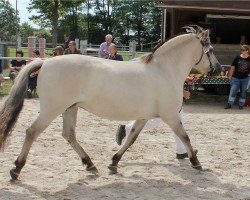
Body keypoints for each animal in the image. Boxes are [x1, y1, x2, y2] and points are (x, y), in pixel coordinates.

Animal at [0, 25, 222, 180]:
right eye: (210, 50)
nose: (219, 69)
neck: (164, 70)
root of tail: (46, 62)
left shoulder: (144, 117)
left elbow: (131, 138)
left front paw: (114, 162)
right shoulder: (171, 116)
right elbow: (185, 136)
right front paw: (196, 162)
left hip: (70, 108)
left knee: (69, 135)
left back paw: (90, 164)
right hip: (52, 109)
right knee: (32, 132)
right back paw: (16, 169)